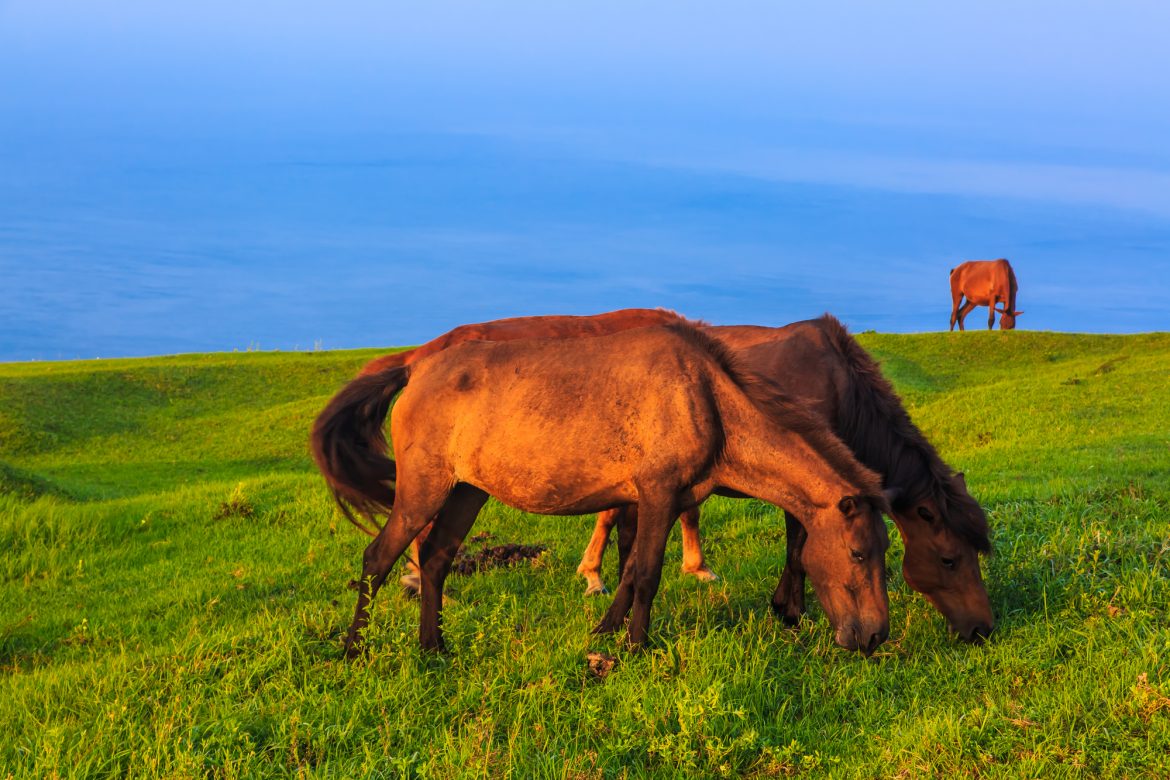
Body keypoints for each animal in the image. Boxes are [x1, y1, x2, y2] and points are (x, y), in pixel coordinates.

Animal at [311, 322, 884, 659]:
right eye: (858, 553)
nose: (876, 635)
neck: (706, 397)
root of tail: (414, 368)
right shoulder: (657, 493)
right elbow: (647, 573)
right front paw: (635, 646)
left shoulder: (659, 501)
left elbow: (629, 571)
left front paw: (606, 633)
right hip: (423, 491)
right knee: (378, 558)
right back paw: (353, 651)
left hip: (467, 492)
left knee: (435, 559)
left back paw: (434, 647)